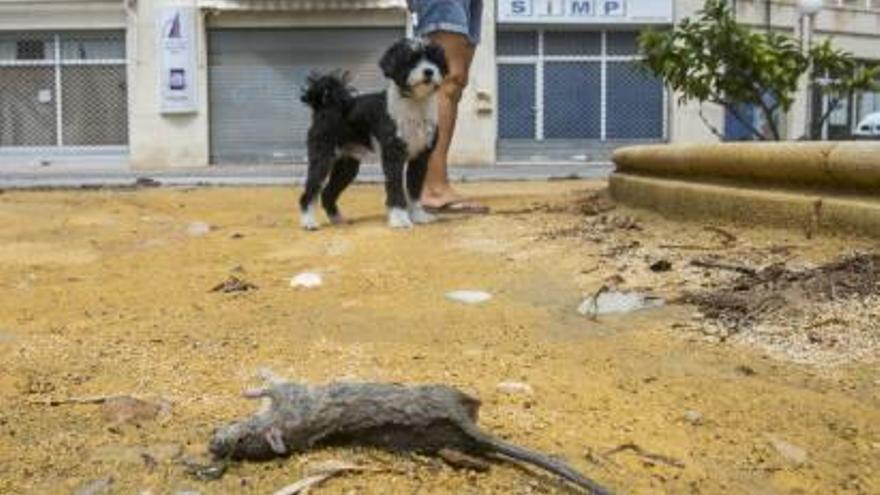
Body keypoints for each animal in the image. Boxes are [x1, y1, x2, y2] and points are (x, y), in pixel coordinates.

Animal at [298, 38, 446, 231]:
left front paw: (418, 216)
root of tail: (323, 105)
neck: (414, 105)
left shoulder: (420, 157)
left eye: (433, 58)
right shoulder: (393, 155)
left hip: (347, 166)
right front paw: (399, 219)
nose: (428, 71)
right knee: (311, 190)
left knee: (327, 193)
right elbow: (396, 189)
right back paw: (308, 221)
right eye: (410, 59)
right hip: (322, 157)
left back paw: (338, 219)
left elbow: (414, 189)